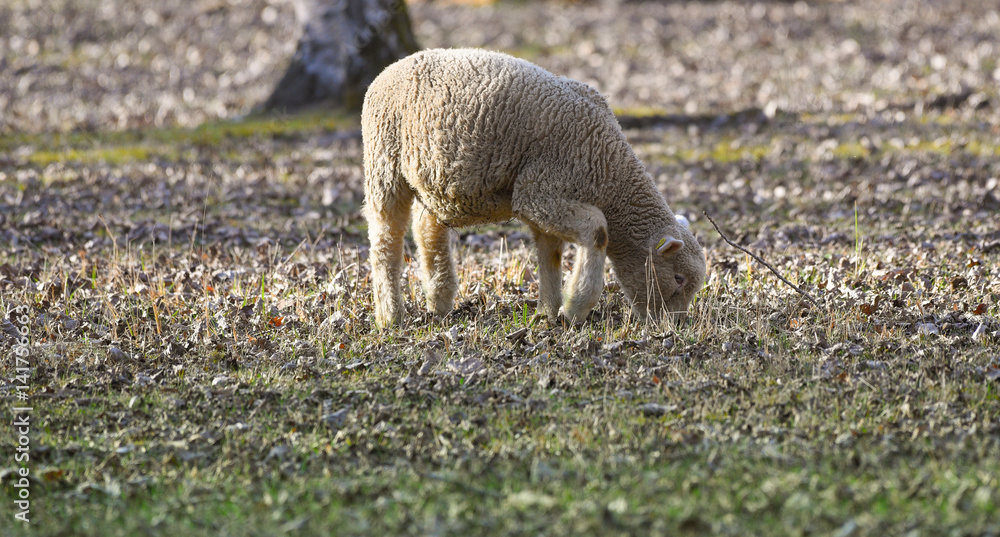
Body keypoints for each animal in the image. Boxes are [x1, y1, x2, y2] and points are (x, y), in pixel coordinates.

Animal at [364, 49, 708, 326]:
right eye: (678, 278)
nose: (676, 325)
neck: (609, 172)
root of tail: (388, 70)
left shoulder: (543, 201)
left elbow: (550, 254)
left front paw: (548, 311)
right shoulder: (539, 192)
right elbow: (598, 230)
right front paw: (576, 308)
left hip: (434, 182)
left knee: (427, 231)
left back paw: (439, 302)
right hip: (383, 165)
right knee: (385, 242)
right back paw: (390, 316)